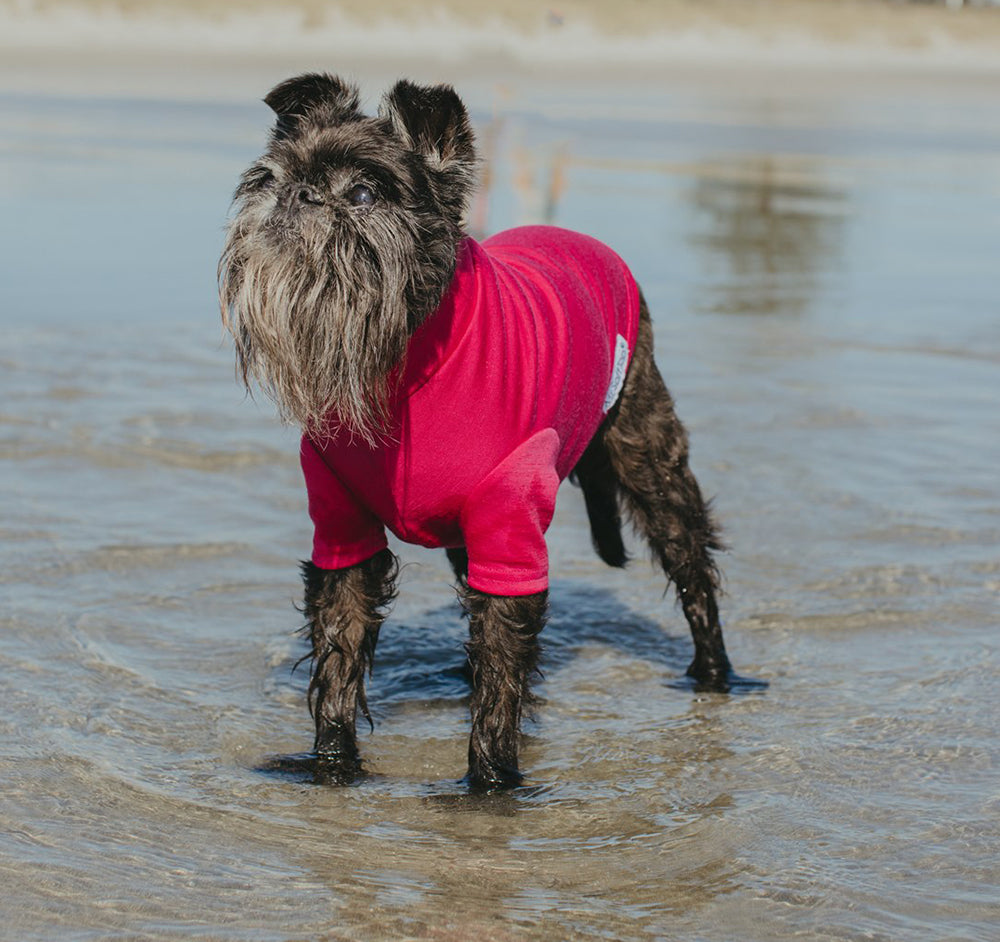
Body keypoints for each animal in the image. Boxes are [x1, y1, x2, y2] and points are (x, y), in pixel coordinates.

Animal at [221, 74, 752, 792]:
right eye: (275, 177)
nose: (298, 194)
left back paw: (718, 676)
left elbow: (502, 674)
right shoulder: (343, 531)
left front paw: (490, 785)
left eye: (362, 194)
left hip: (651, 462)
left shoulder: (510, 533)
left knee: (693, 571)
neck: (405, 368)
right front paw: (330, 765)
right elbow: (339, 657)